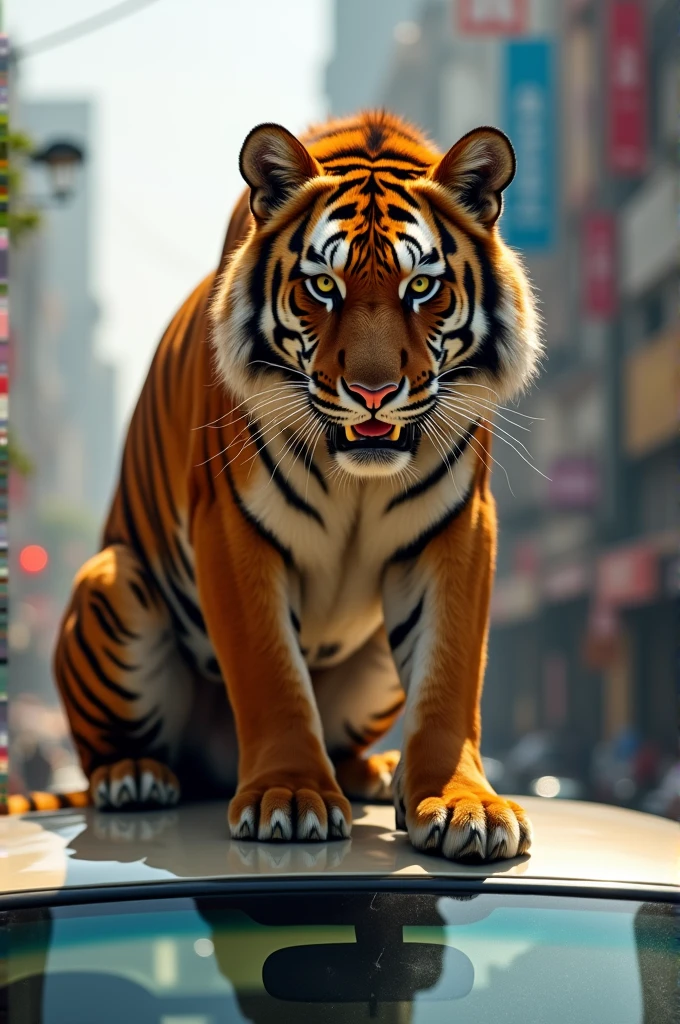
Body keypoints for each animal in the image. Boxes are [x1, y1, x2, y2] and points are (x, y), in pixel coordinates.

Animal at [3, 112, 536, 860]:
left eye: (421, 288)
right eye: (324, 287)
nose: (374, 392)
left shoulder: (457, 527)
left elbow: (450, 677)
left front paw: (465, 805)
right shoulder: (230, 524)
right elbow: (270, 672)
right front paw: (289, 795)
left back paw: (374, 772)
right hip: (112, 583)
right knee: (109, 748)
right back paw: (134, 776)